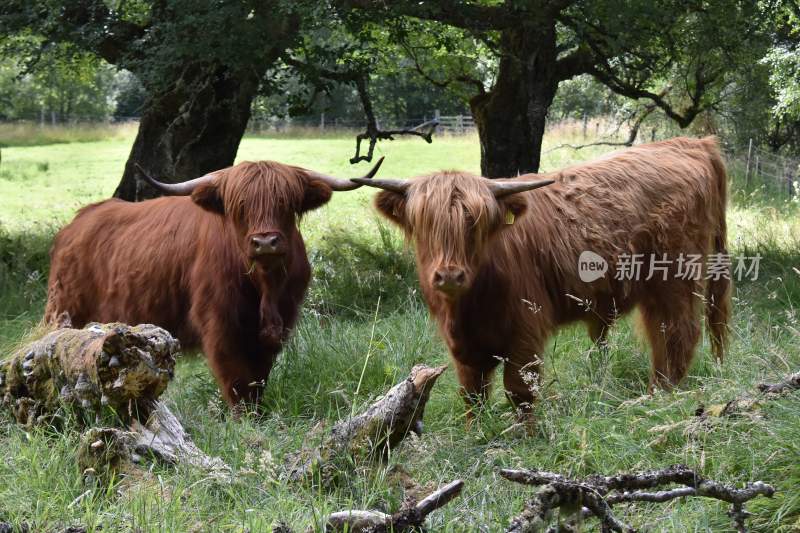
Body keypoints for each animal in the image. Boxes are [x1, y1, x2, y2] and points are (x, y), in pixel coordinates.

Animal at [46, 156, 384, 406]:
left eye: (286, 203)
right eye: (240, 206)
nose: (265, 242)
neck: (265, 287)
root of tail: (77, 222)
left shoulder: (280, 323)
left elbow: (259, 376)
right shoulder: (219, 324)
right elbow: (236, 378)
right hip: (65, 310)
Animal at [356, 137, 732, 420]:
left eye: (475, 224)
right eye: (425, 226)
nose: (450, 274)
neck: (469, 306)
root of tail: (691, 143)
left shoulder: (526, 328)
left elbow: (519, 389)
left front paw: (526, 437)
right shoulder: (462, 346)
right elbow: (472, 395)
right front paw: (475, 433)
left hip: (674, 279)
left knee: (676, 334)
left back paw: (657, 396)